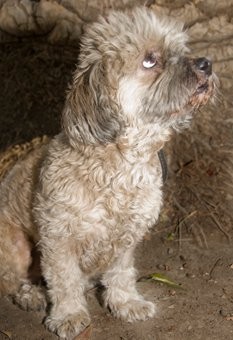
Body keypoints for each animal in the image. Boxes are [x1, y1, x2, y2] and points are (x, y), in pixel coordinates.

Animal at [0, 5, 217, 340]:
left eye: (183, 50)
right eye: (149, 60)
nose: (206, 63)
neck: (121, 166)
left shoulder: (125, 238)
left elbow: (122, 274)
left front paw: (126, 303)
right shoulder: (58, 238)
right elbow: (64, 281)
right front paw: (68, 314)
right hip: (15, 246)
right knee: (11, 280)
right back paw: (30, 295)